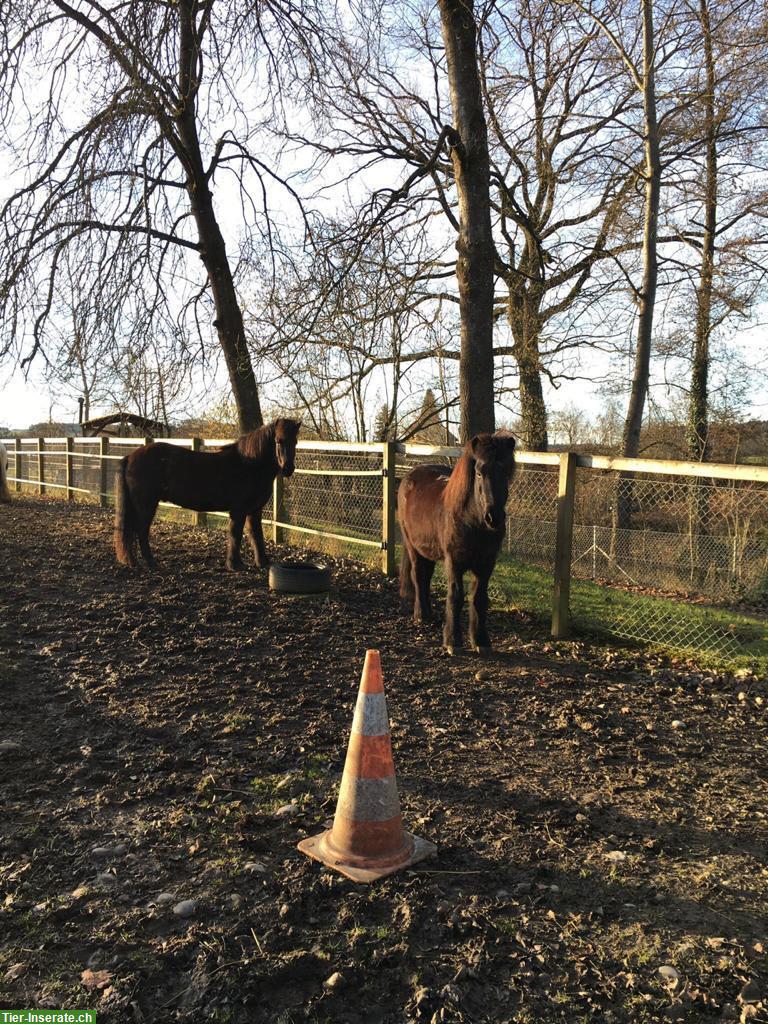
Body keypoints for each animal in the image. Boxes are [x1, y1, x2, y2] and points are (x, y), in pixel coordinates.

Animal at [114, 419, 301, 573]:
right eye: (278, 440)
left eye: (295, 441)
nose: (288, 468)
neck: (249, 464)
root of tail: (130, 456)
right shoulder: (239, 510)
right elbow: (236, 535)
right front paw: (234, 564)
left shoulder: (254, 511)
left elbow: (257, 535)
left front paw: (262, 562)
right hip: (146, 505)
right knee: (141, 531)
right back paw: (149, 562)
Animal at [397, 432, 518, 655]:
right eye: (479, 473)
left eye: (506, 472)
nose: (494, 518)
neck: (472, 521)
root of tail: (410, 476)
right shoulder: (454, 561)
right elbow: (456, 596)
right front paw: (452, 641)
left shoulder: (486, 564)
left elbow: (479, 598)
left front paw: (481, 641)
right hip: (412, 546)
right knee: (418, 576)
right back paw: (421, 615)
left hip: (428, 551)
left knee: (426, 577)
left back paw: (428, 613)